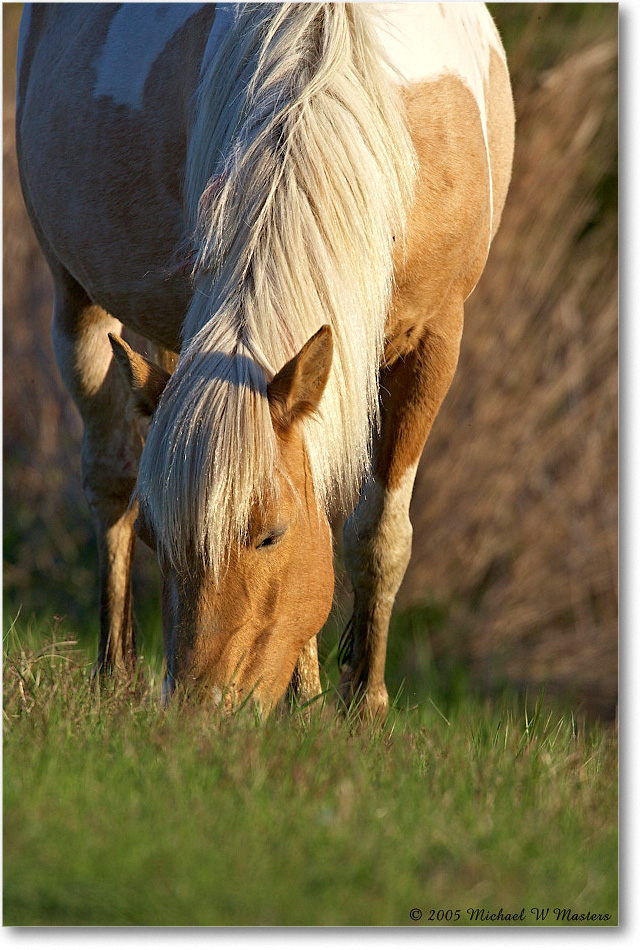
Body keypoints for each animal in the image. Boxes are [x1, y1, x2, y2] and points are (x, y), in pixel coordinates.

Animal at [15, 0, 512, 712]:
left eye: (270, 534)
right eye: (157, 539)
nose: (195, 712)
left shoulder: (435, 340)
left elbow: (379, 533)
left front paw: (362, 706)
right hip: (76, 296)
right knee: (110, 475)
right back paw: (115, 674)